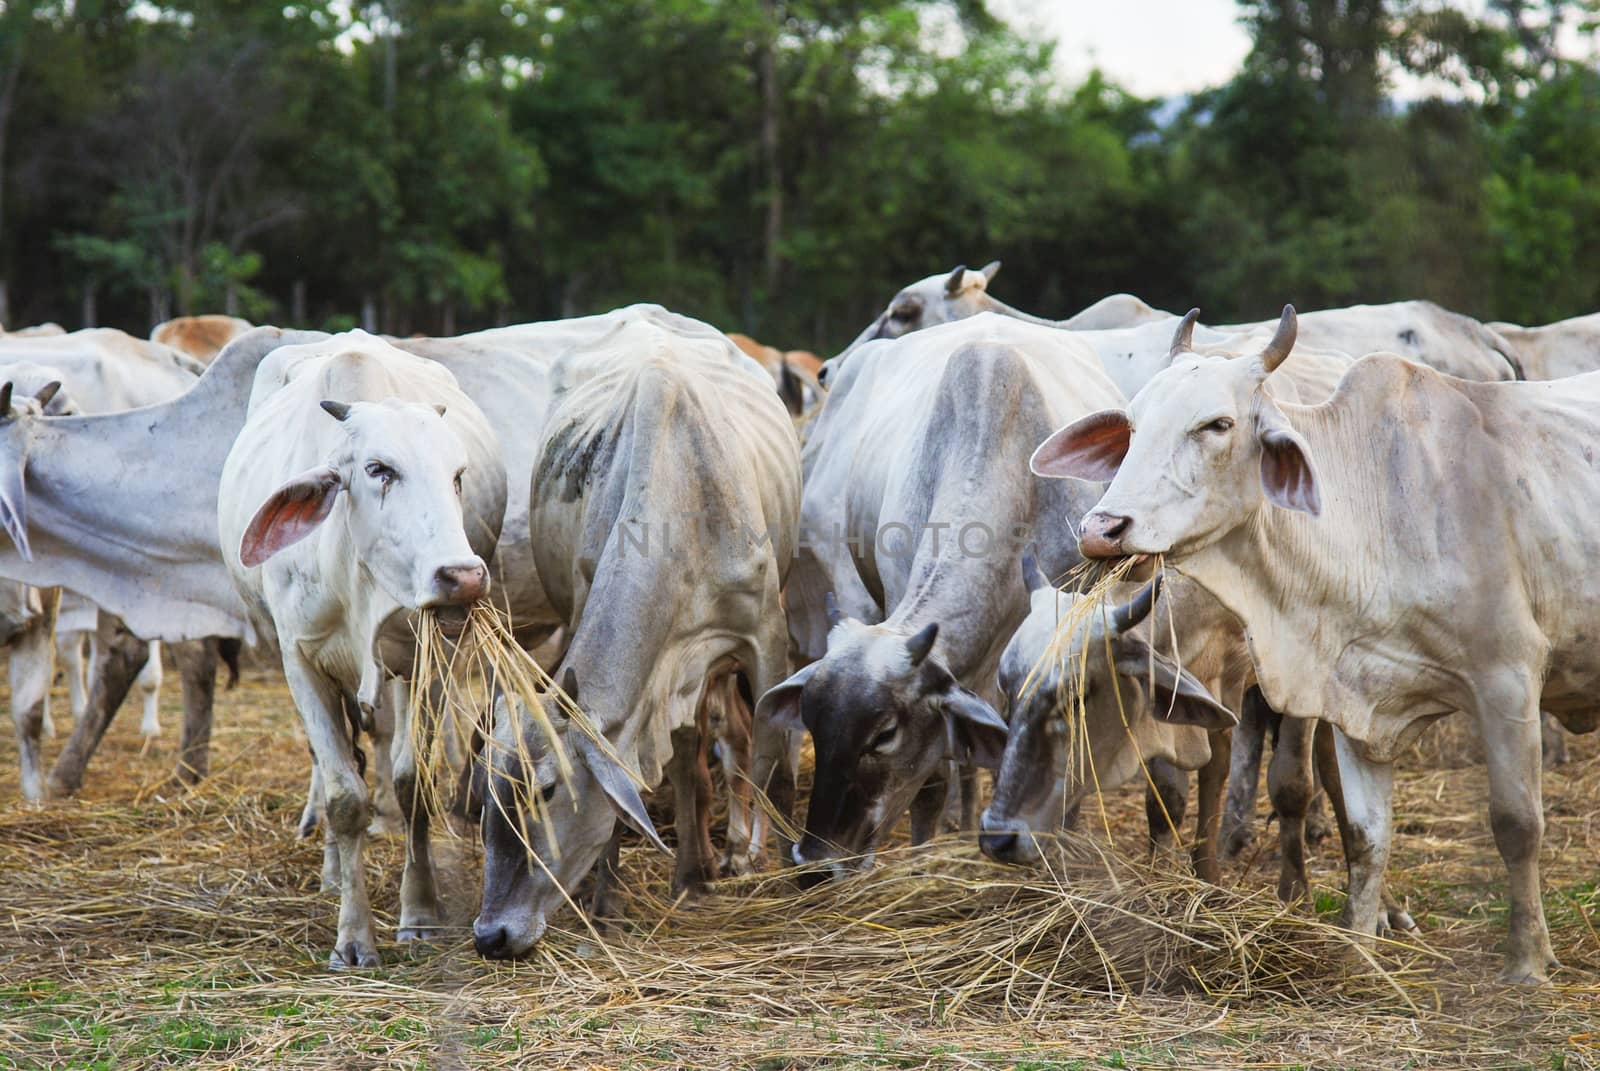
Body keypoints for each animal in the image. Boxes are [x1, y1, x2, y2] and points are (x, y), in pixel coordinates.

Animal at [470, 313, 800, 954]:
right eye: (490, 796)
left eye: (548, 792)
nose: (490, 934)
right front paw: (608, 905)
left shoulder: (765, 637)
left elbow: (772, 759)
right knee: (693, 750)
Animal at [1036, 304, 1600, 979]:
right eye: (1134, 425)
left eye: (1217, 424)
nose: (1102, 529)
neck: (1376, 511)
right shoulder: (1359, 700)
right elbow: (1366, 836)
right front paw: (1358, 952)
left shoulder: (1508, 679)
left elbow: (1517, 825)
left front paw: (1527, 960)